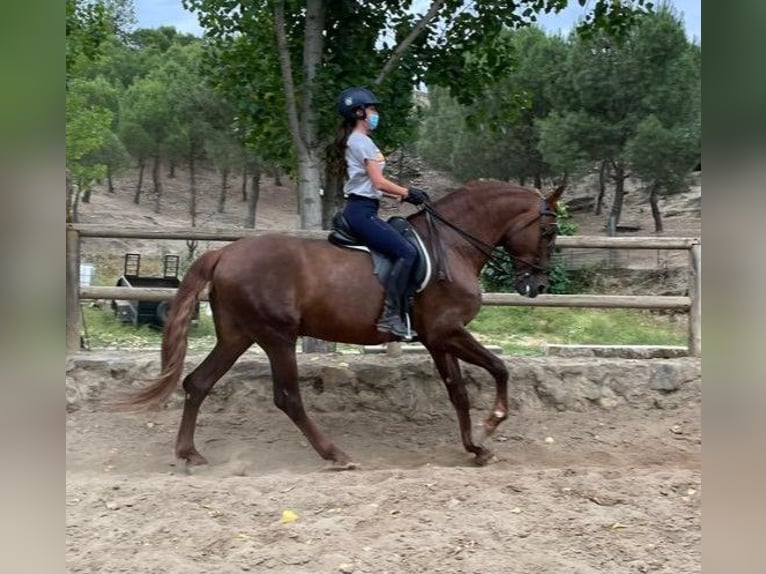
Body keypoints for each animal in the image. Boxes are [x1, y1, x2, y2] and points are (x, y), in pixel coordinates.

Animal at [118, 180, 564, 467]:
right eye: (548, 231)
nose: (537, 285)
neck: (453, 245)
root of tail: (224, 253)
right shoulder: (447, 331)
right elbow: (500, 368)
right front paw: (492, 424)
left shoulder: (438, 339)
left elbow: (458, 393)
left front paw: (475, 448)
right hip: (277, 336)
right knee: (287, 398)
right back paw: (335, 454)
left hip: (237, 335)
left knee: (198, 383)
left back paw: (188, 452)